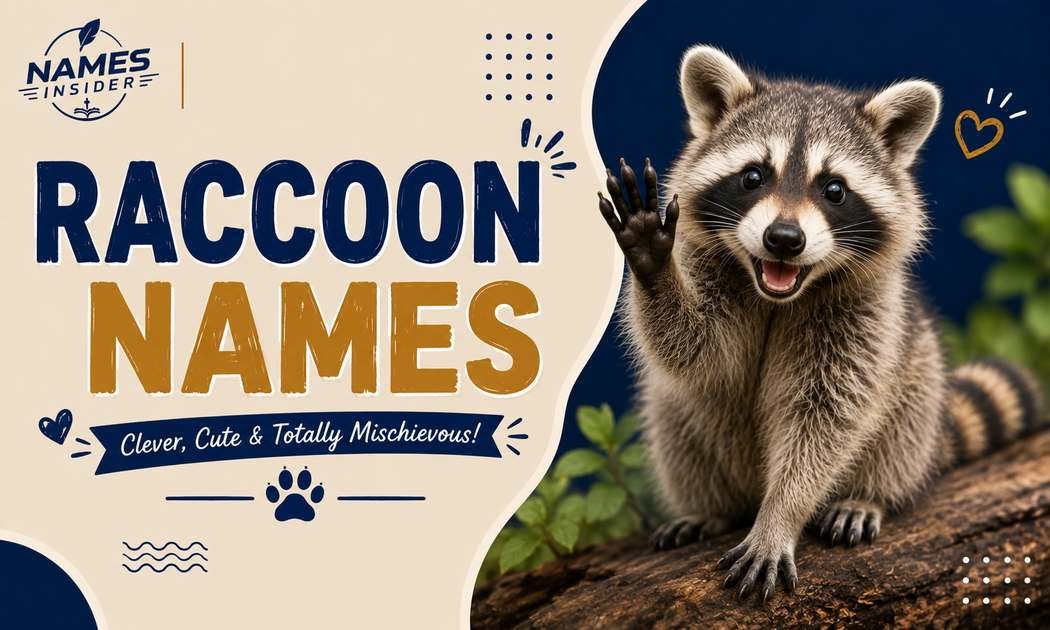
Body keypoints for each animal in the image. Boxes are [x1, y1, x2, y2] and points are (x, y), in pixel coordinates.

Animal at [596, 45, 1045, 602]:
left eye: (834, 190)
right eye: (753, 177)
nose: (784, 239)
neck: (780, 292)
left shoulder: (866, 311)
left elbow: (827, 416)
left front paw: (780, 517)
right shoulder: (706, 262)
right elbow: (698, 350)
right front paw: (653, 266)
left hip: (918, 380)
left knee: (900, 423)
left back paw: (869, 494)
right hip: (686, 426)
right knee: (676, 414)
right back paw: (712, 507)